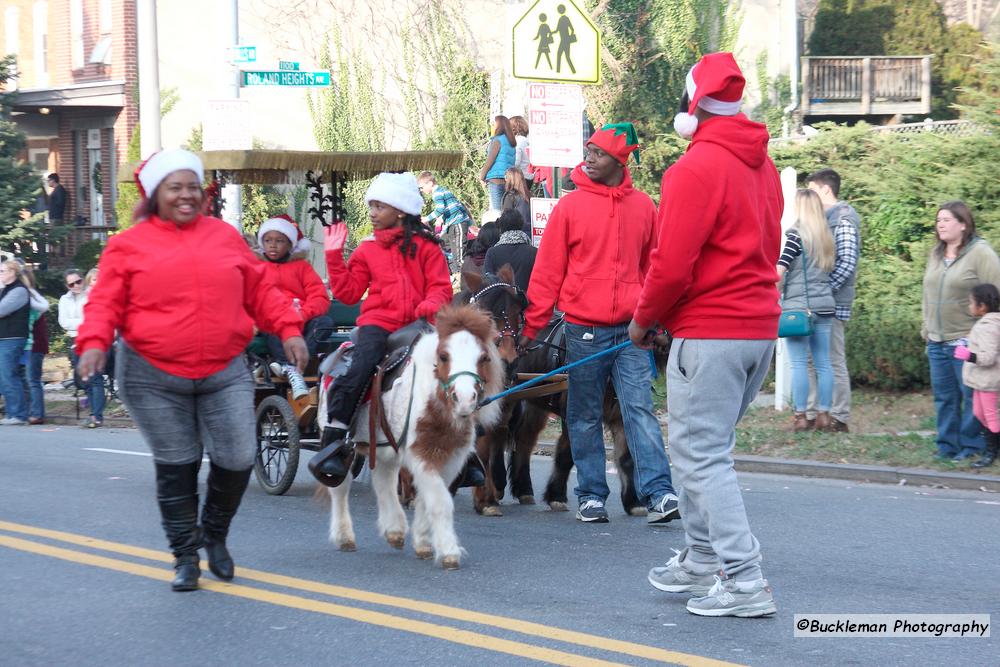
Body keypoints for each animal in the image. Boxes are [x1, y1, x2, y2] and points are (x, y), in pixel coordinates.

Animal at [320, 306, 504, 572]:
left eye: (483, 358)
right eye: (444, 356)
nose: (464, 399)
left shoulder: (451, 459)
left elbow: (429, 499)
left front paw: (424, 543)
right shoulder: (420, 455)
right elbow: (439, 501)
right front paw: (448, 552)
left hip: (385, 447)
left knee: (383, 481)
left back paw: (394, 531)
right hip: (343, 444)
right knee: (339, 485)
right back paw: (345, 537)